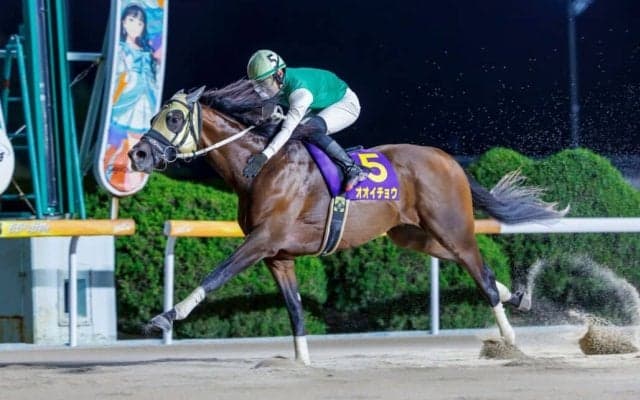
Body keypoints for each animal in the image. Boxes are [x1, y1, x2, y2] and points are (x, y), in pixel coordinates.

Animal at [128, 80, 567, 365]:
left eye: (172, 119)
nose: (138, 155)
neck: (264, 167)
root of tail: (449, 160)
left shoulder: (263, 239)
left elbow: (217, 274)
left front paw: (166, 317)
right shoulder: (277, 255)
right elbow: (295, 309)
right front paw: (302, 362)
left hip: (451, 227)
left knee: (480, 274)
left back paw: (509, 340)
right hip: (413, 235)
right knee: (478, 269)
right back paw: (519, 297)